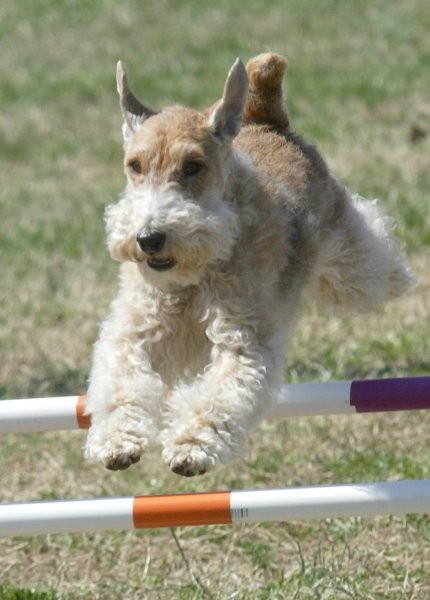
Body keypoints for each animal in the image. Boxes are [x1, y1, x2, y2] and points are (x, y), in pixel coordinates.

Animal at [82, 54, 414, 476]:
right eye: (134, 165)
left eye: (193, 166)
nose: (149, 238)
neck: (199, 271)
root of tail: (265, 122)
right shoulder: (138, 328)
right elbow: (122, 378)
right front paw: (116, 441)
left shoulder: (242, 338)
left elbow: (223, 391)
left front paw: (191, 446)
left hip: (351, 264)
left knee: (374, 242)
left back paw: (404, 275)